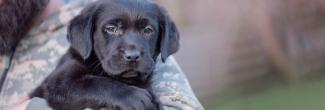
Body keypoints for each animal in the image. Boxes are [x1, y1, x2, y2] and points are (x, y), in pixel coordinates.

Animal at [29, 0, 178, 109]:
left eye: (148, 30)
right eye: (111, 28)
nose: (132, 56)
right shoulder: (60, 83)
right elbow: (96, 83)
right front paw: (134, 97)